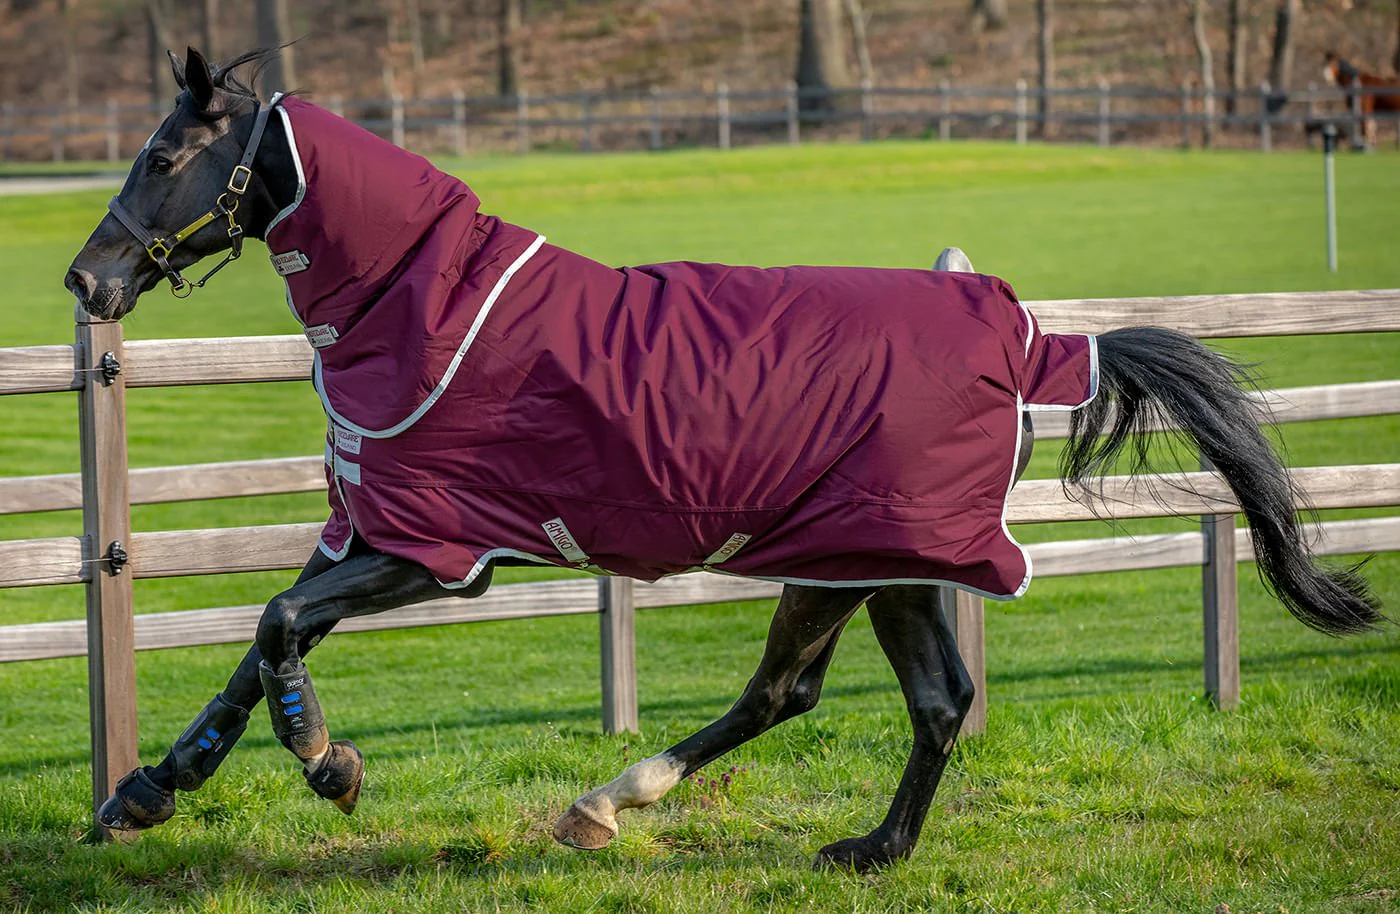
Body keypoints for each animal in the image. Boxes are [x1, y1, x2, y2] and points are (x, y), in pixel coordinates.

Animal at [65, 48, 1380, 874]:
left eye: (165, 156)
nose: (87, 279)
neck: (424, 306)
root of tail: (1035, 341)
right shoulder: (373, 530)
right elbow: (256, 640)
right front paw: (146, 789)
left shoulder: (437, 548)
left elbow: (278, 625)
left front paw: (326, 761)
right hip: (876, 562)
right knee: (898, 698)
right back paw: (834, 841)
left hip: (857, 554)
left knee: (819, 693)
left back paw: (631, 806)